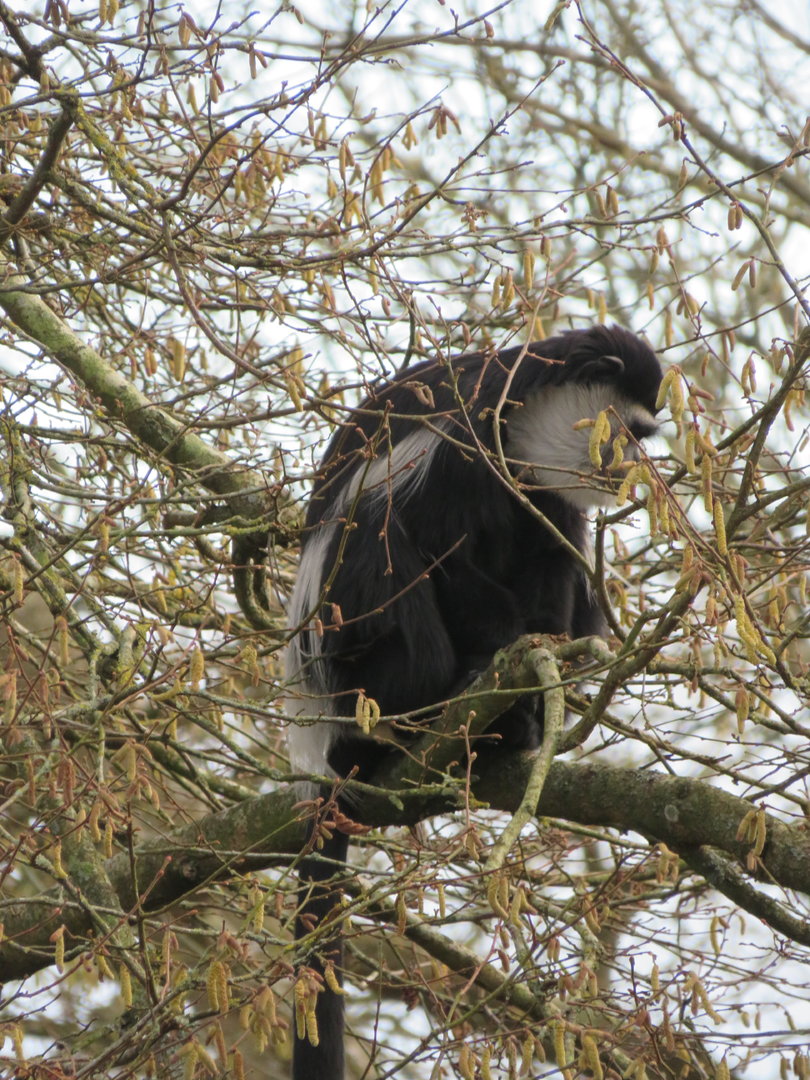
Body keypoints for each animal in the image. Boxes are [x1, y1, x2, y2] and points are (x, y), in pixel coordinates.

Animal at [285, 324, 663, 1080]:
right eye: (629, 432)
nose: (633, 467)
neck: (517, 429)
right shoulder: (457, 448)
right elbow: (441, 554)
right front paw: (495, 668)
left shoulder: (544, 493)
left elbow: (553, 567)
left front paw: (528, 694)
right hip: (350, 652)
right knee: (381, 553)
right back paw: (402, 731)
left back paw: (504, 730)